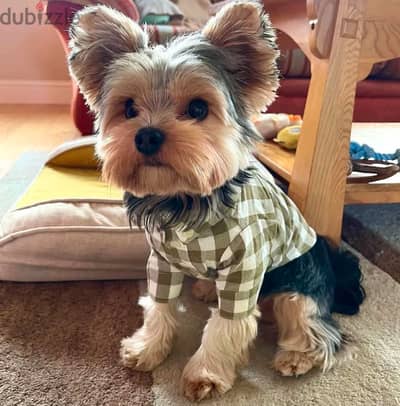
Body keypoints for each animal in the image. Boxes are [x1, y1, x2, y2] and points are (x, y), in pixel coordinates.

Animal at [69, 1, 366, 402]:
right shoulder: (161, 260)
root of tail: (333, 266)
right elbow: (159, 306)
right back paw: (207, 288)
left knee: (317, 327)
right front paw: (149, 347)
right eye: (129, 108)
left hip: (298, 282)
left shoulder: (245, 268)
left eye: (197, 108)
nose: (146, 135)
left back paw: (298, 356)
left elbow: (226, 327)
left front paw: (205, 374)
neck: (183, 202)